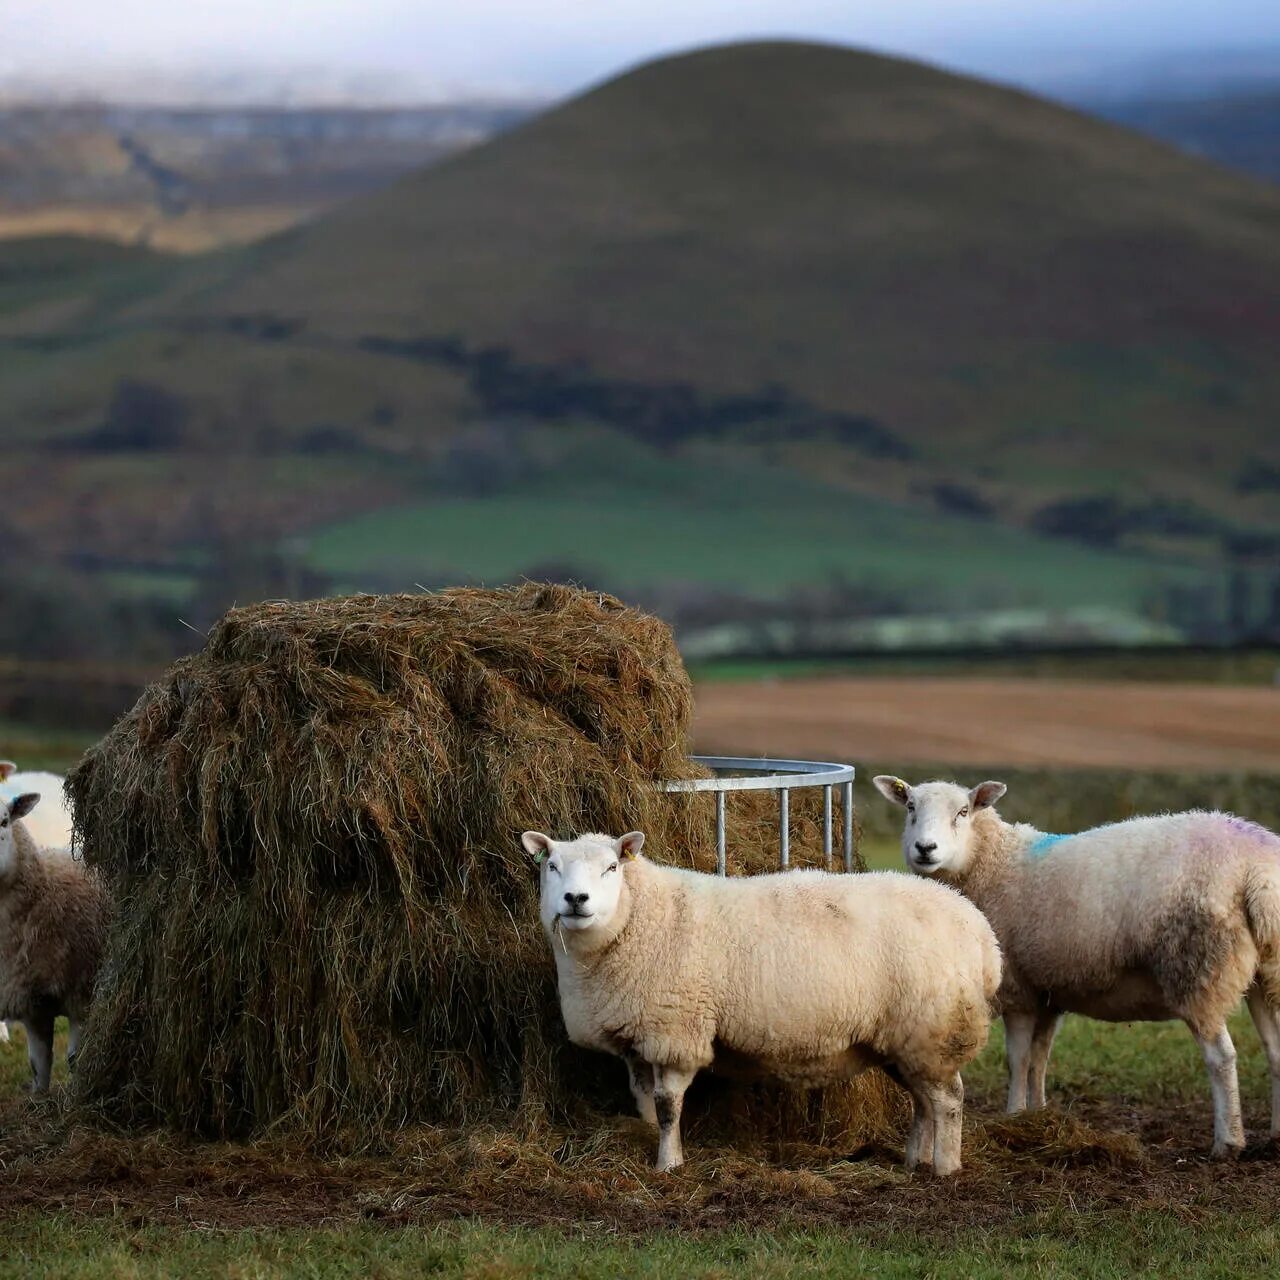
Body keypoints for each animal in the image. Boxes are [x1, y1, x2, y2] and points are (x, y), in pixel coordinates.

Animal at [0, 788, 110, 1090]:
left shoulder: (83, 995)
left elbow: (75, 1061)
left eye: (4, 821)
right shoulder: (32, 1006)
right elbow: (38, 1067)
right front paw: (40, 1097)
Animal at [519, 824, 998, 1172]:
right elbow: (644, 1104)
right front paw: (651, 1142)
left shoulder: (678, 1032)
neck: (640, 919)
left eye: (612, 868)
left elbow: (669, 1106)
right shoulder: (639, 1039)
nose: (575, 899)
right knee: (923, 1101)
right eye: (552, 866)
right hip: (906, 1041)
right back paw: (915, 1160)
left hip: (936, 1029)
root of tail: (981, 933)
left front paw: (669, 1165)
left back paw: (945, 1167)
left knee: (948, 1101)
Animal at [875, 773, 1280, 1157]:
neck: (996, 863)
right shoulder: (1048, 991)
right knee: (1275, 1049)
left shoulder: (1018, 988)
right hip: (1267, 971)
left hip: (1199, 968)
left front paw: (1013, 1116)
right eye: (910, 807)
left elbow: (1017, 1059)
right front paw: (1038, 1113)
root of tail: (1257, 868)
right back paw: (1274, 1137)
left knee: (1221, 1057)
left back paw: (1228, 1142)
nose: (925, 849)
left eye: (962, 812)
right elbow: (1039, 1058)